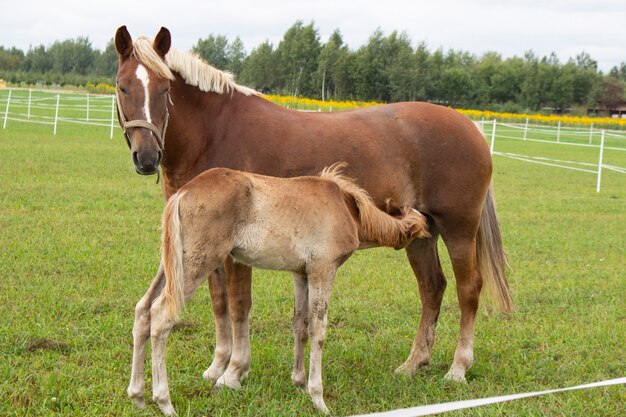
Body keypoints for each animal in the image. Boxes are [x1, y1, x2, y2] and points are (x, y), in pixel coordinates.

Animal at [129, 164, 426, 414]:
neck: (346, 206)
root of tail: (183, 193)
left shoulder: (301, 274)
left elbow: (300, 325)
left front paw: (299, 382)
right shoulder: (323, 270)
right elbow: (318, 329)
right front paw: (318, 398)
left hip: (171, 265)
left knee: (143, 309)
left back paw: (138, 395)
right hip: (198, 264)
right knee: (161, 316)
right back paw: (164, 402)